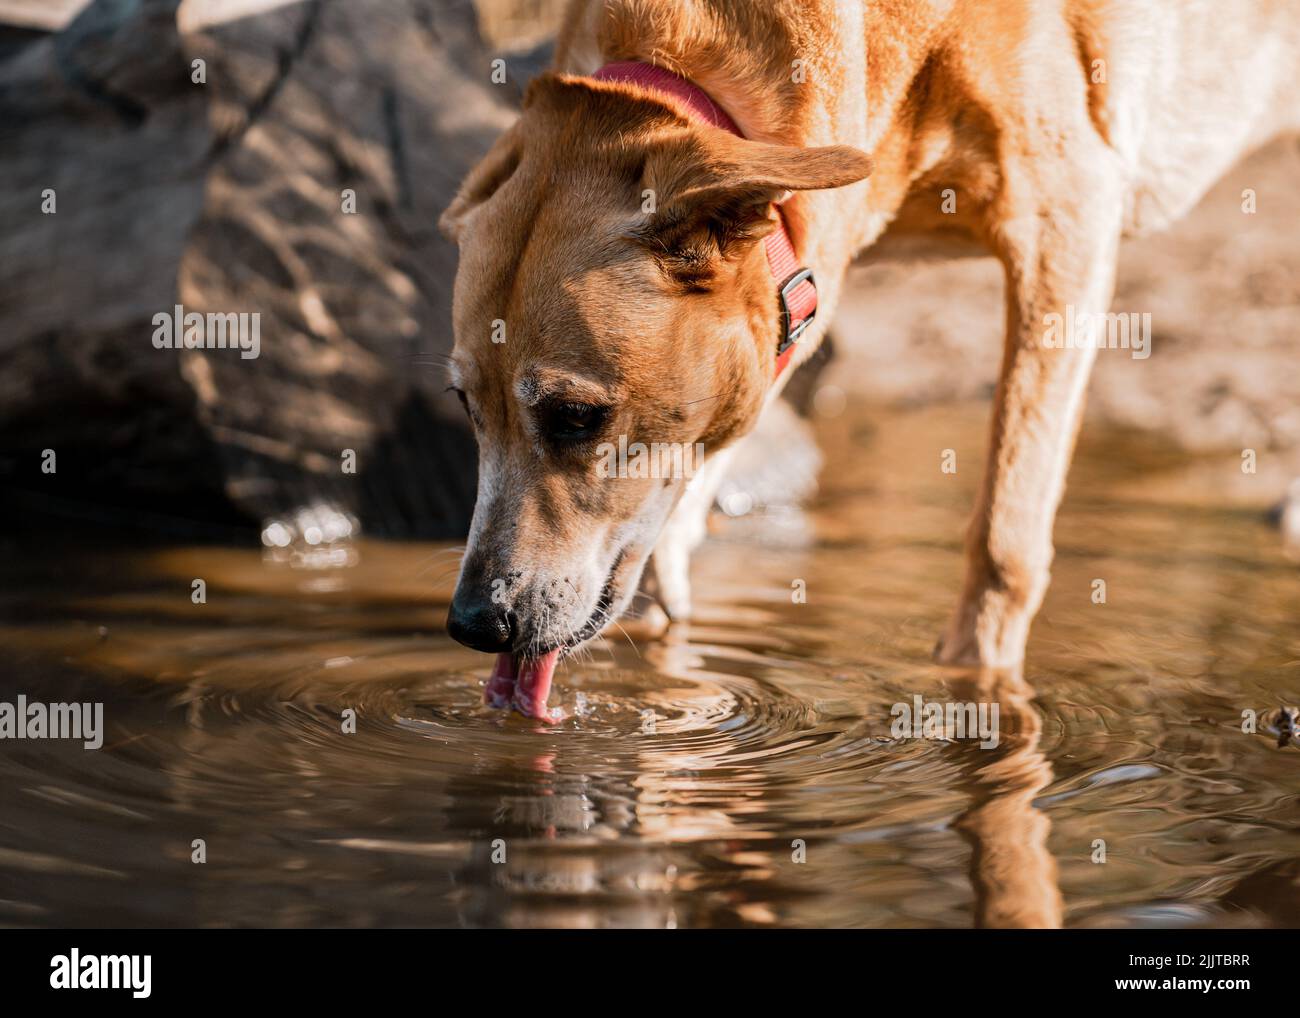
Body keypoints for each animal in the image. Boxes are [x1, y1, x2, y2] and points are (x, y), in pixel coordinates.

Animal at [439, 1, 1300, 717]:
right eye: (465, 408)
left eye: (576, 417)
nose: (474, 623)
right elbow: (673, 552)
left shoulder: (1067, 228)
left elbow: (1003, 543)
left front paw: (979, 698)